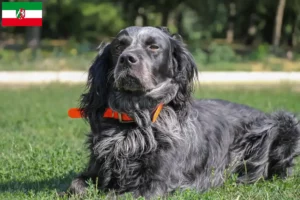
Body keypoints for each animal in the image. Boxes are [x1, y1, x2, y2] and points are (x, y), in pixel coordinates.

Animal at [65, 26, 300, 198]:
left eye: (153, 47)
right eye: (118, 46)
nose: (126, 58)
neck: (135, 120)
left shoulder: (155, 184)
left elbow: (115, 195)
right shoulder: (95, 171)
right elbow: (75, 185)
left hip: (282, 124)